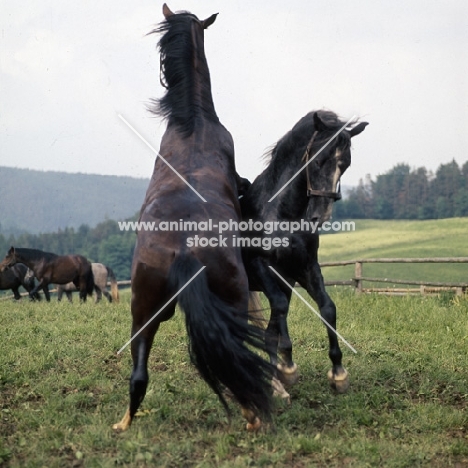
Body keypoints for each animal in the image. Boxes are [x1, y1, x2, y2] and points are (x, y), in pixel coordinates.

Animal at [239, 109, 368, 394]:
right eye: (318, 161)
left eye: (345, 165)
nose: (320, 216)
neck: (281, 214)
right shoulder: (262, 267)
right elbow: (278, 311)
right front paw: (284, 373)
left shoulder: (304, 269)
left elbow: (327, 308)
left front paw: (338, 373)